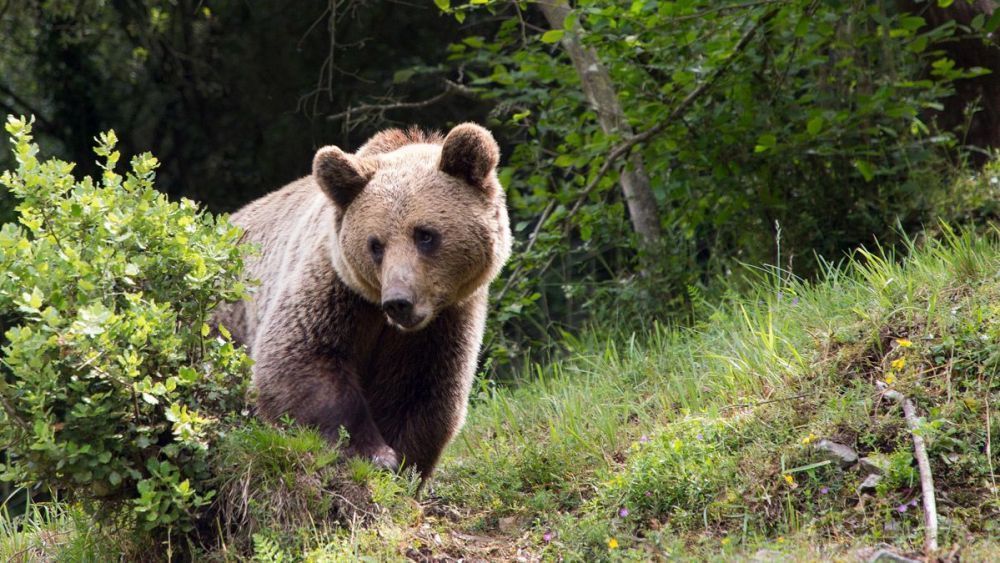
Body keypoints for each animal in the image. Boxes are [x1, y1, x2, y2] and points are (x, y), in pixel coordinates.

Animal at [214, 123, 511, 479]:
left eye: (425, 234)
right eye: (375, 244)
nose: (399, 301)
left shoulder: (444, 322)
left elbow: (421, 391)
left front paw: (402, 463)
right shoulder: (336, 289)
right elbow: (301, 358)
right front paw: (373, 453)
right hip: (226, 320)